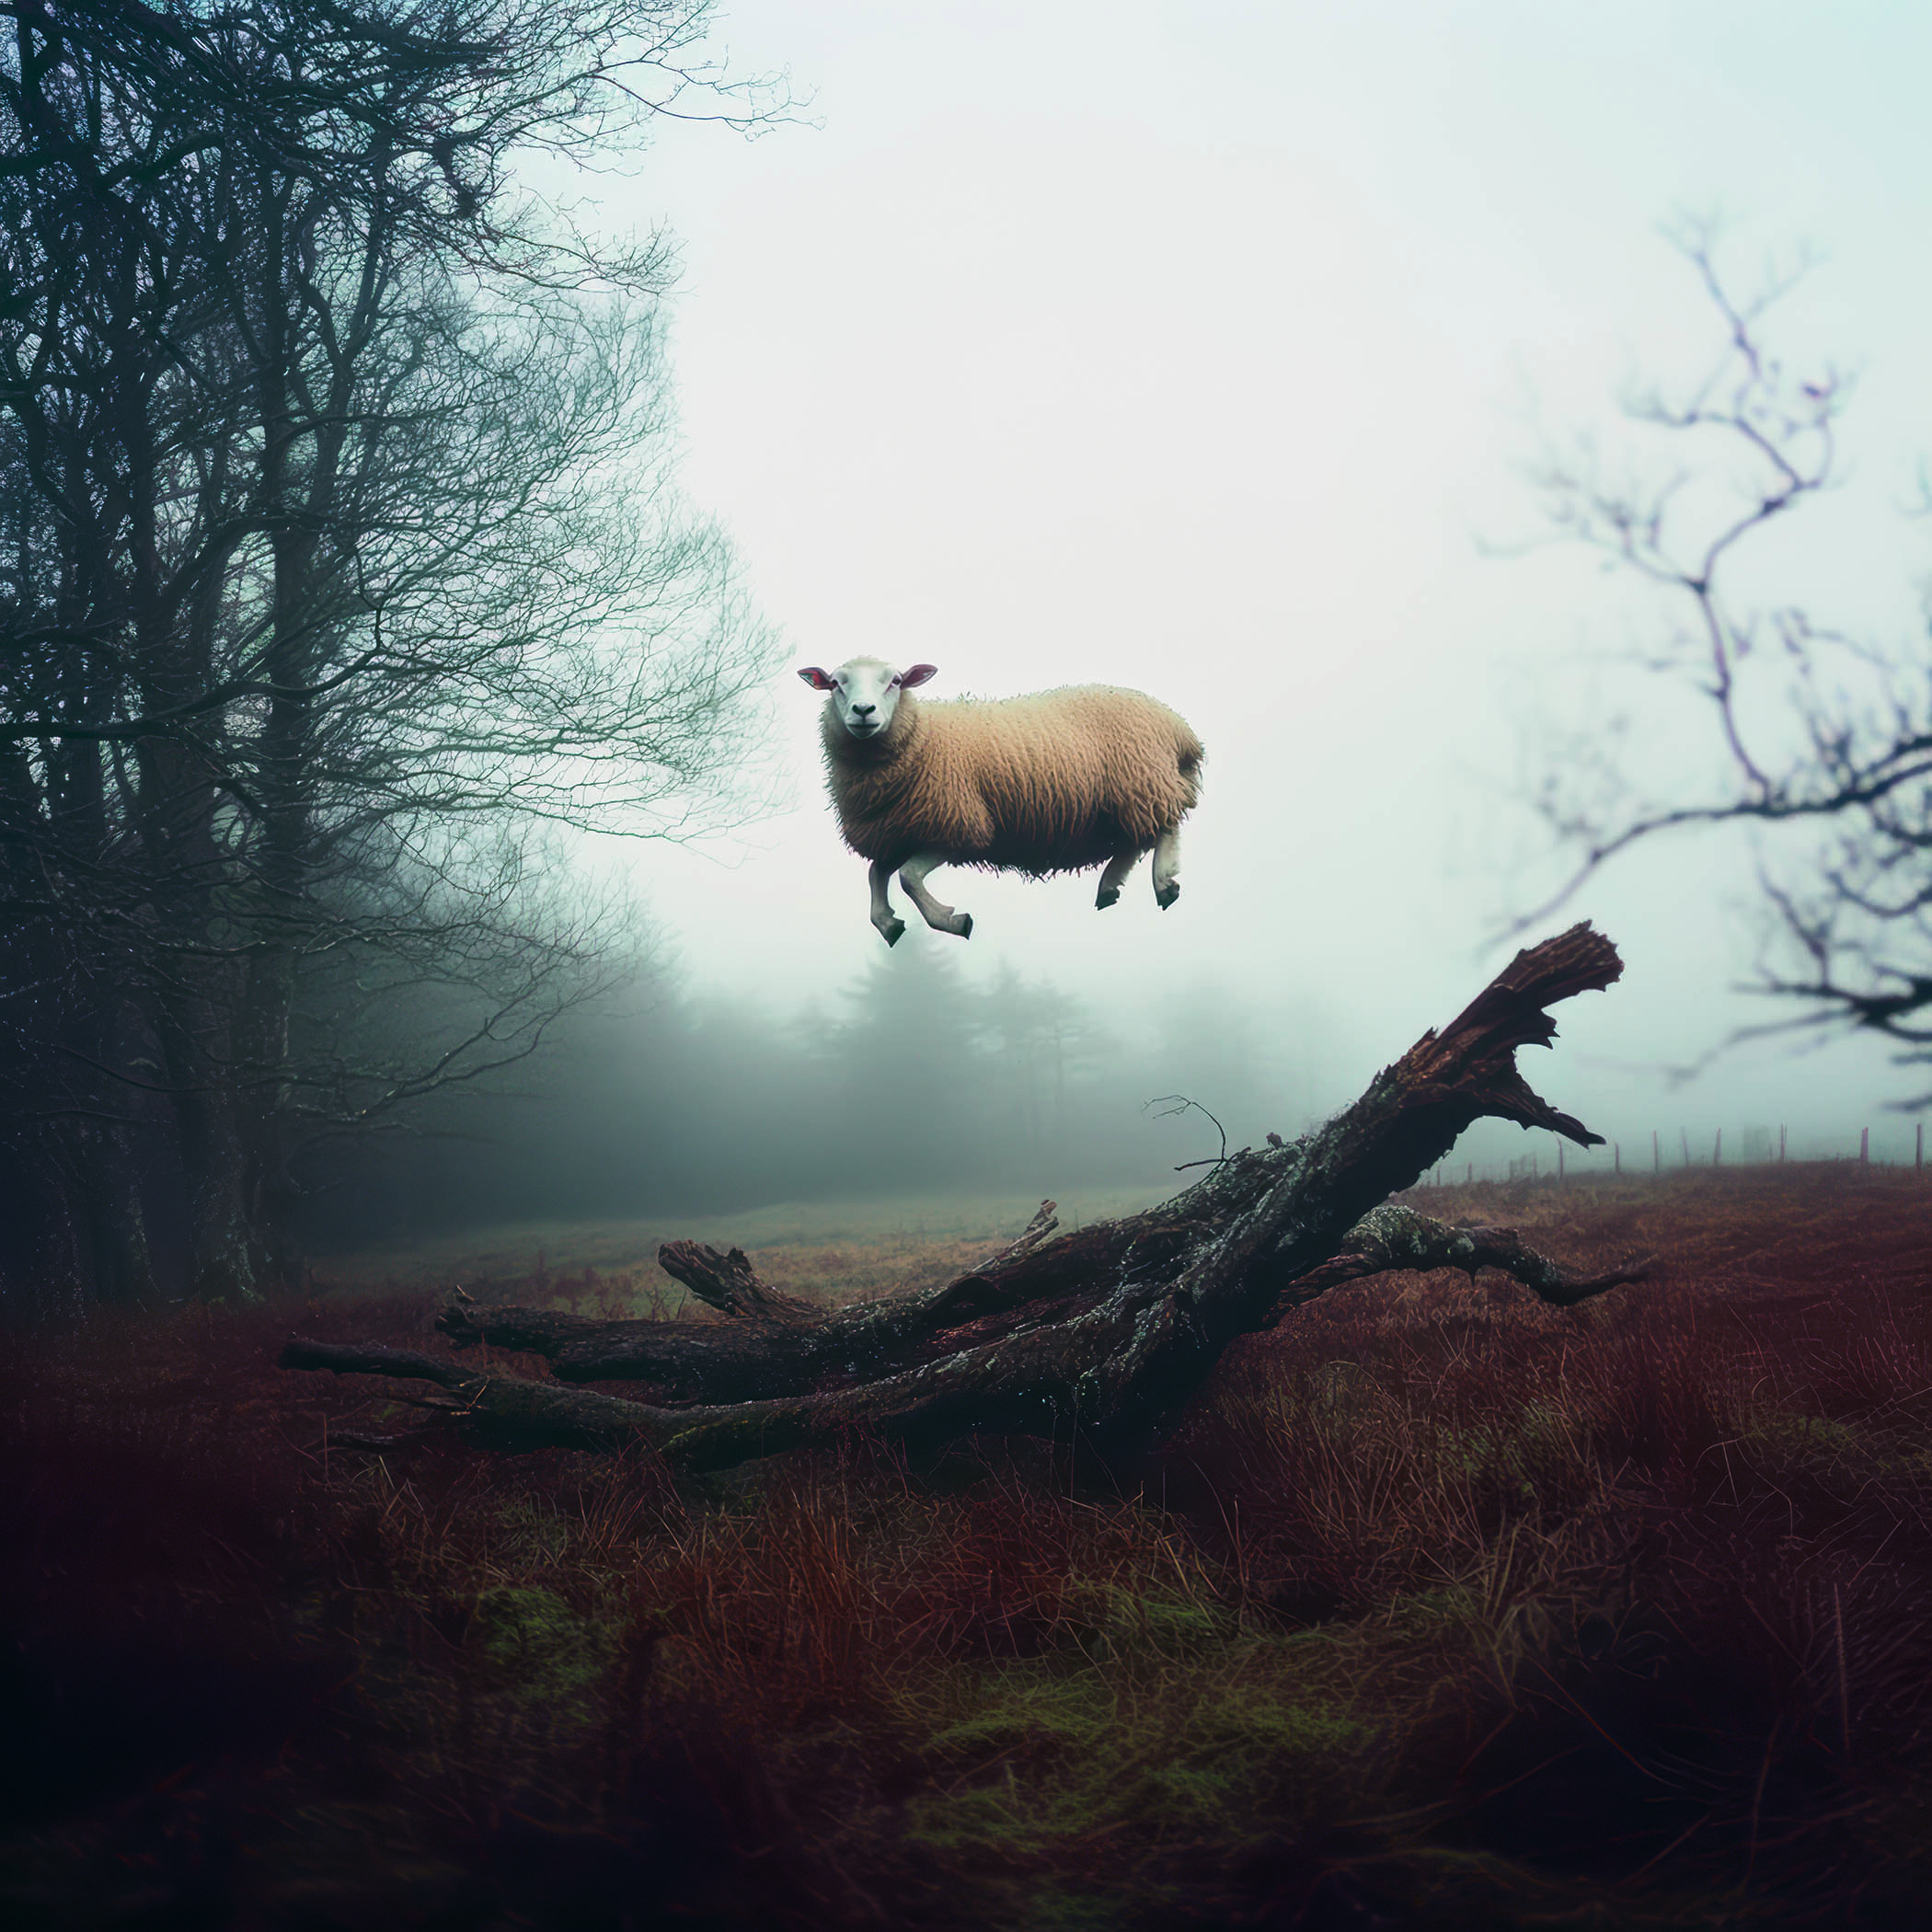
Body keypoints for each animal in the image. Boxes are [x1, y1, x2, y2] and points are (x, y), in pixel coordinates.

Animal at [797, 656, 1204, 946]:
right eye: (835, 684)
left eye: (895, 681)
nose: (863, 712)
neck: (923, 738)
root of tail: (1176, 725)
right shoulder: (895, 831)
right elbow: (876, 874)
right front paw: (888, 924)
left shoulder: (955, 826)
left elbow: (908, 878)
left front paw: (953, 921)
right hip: (1120, 806)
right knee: (1134, 842)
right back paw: (1109, 888)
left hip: (1143, 784)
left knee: (1166, 828)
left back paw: (1164, 883)